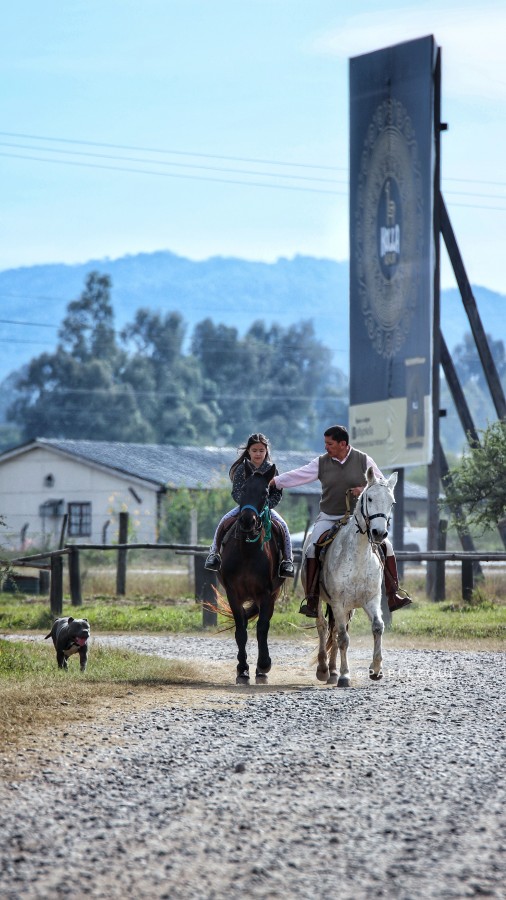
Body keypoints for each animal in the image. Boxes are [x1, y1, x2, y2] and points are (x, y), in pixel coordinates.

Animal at [217, 464, 284, 684]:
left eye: (265, 493)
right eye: (244, 489)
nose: (247, 520)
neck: (247, 551)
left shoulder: (266, 594)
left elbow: (262, 628)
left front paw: (263, 666)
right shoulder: (232, 593)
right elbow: (241, 630)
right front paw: (242, 670)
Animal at [306, 468, 398, 684]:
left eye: (392, 502)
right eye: (370, 498)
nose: (379, 533)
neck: (358, 556)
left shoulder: (371, 600)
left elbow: (377, 627)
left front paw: (376, 669)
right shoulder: (338, 603)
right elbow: (343, 638)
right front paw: (345, 675)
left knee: (333, 631)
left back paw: (332, 671)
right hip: (323, 602)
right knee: (323, 627)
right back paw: (324, 669)